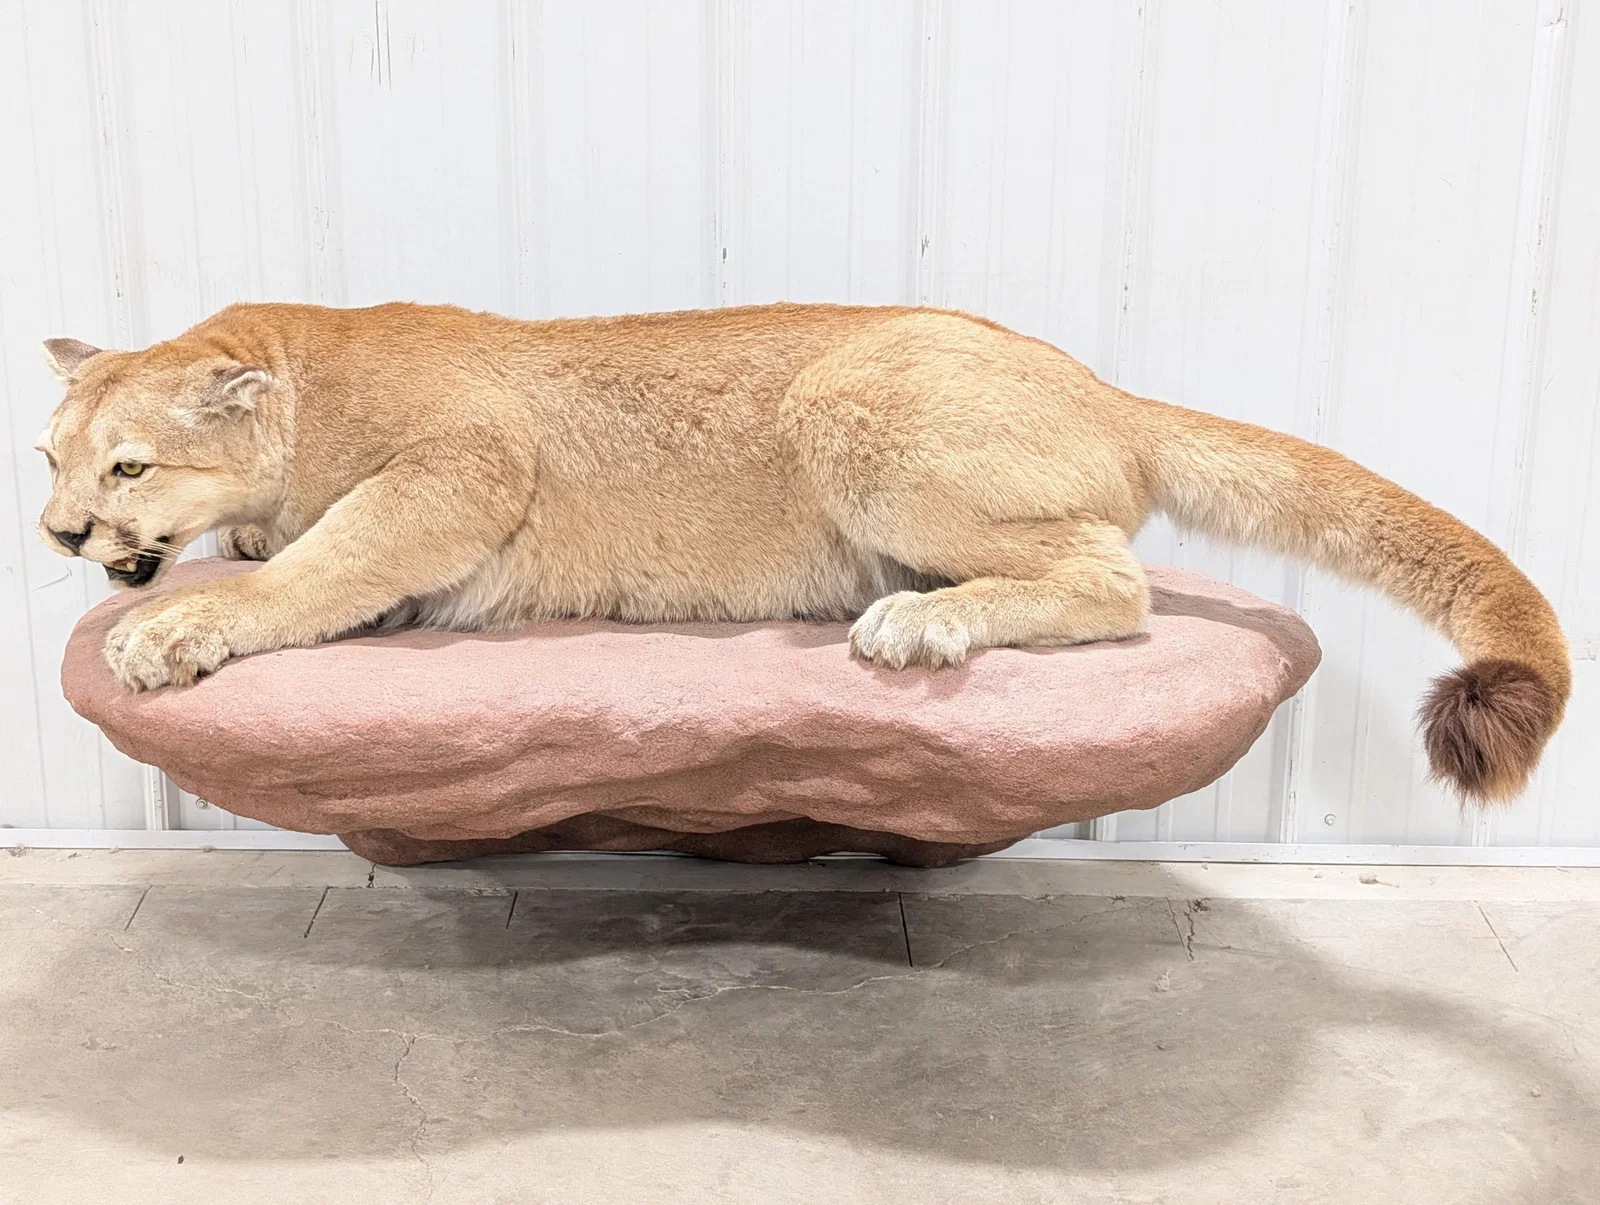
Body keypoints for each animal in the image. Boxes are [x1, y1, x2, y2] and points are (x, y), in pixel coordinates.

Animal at [37, 301, 1568, 802]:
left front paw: (176, 628)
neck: (302, 371)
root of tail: (1100, 385)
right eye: (47, 458)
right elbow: (297, 556)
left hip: (852, 403)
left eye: (127, 467)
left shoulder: (461, 468)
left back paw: (919, 623)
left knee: (1116, 580)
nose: (56, 534)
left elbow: (314, 567)